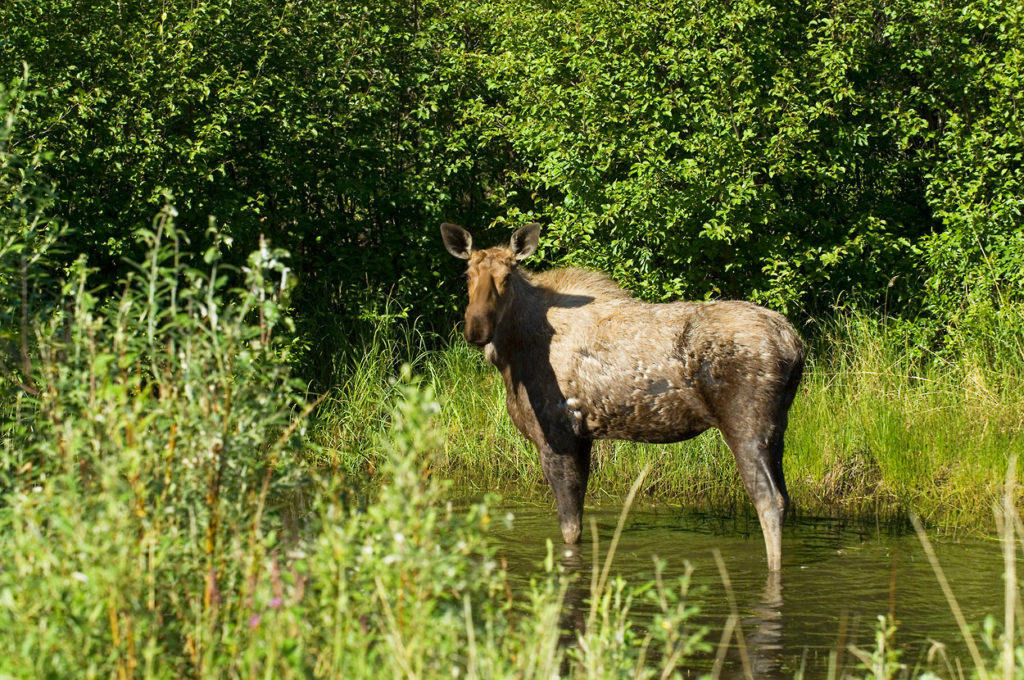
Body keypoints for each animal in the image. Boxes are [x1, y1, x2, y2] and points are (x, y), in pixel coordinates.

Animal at [444, 222, 802, 569]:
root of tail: (795, 344)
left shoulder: (557, 436)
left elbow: (569, 528)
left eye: (507, 277)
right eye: (467, 276)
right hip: (777, 429)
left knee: (768, 500)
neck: (512, 355)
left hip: (746, 425)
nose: (475, 329)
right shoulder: (582, 437)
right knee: (785, 498)